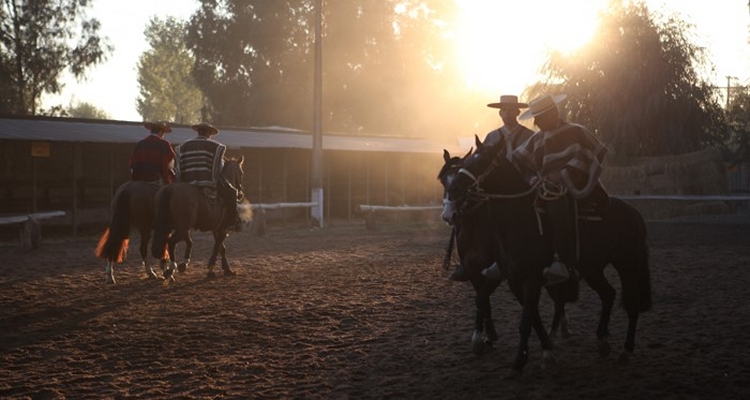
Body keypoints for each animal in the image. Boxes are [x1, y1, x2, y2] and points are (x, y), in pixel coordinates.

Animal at [446, 137, 652, 376]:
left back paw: (626, 351)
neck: (518, 220)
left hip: (627, 265)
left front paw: (519, 361)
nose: (454, 189)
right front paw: (547, 352)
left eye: (482, 161)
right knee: (608, 294)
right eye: (468, 160)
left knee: (632, 304)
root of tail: (633, 212)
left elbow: (525, 321)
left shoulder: (532, 278)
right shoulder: (515, 279)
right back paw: (602, 342)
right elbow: (532, 316)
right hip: (593, 269)